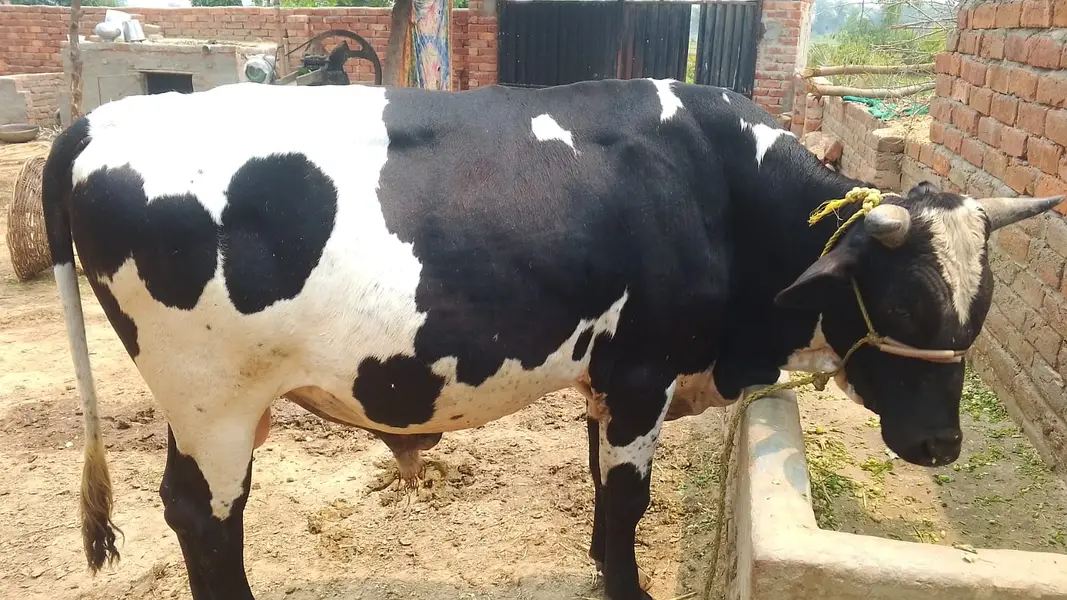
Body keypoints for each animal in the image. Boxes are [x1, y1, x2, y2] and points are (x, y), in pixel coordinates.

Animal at [41, 78, 1061, 600]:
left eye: (979, 307)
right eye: (904, 304)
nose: (939, 444)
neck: (717, 184)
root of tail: (102, 117)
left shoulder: (607, 379)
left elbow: (600, 490)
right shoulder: (645, 371)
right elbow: (625, 502)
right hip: (211, 399)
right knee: (203, 518)